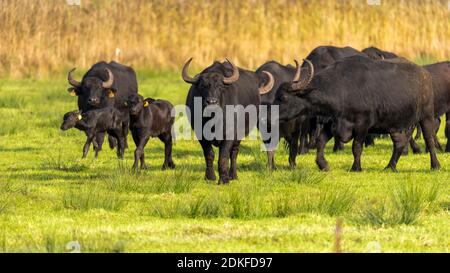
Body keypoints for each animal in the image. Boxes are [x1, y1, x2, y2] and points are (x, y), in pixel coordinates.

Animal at [274, 56, 440, 171]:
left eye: (283, 97)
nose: (272, 113)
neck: (342, 89)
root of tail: (425, 75)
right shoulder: (331, 122)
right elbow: (320, 141)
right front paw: (323, 164)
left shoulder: (362, 124)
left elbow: (357, 146)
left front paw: (356, 167)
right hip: (395, 124)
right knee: (399, 143)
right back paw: (390, 167)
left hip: (426, 116)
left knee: (429, 140)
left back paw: (435, 165)